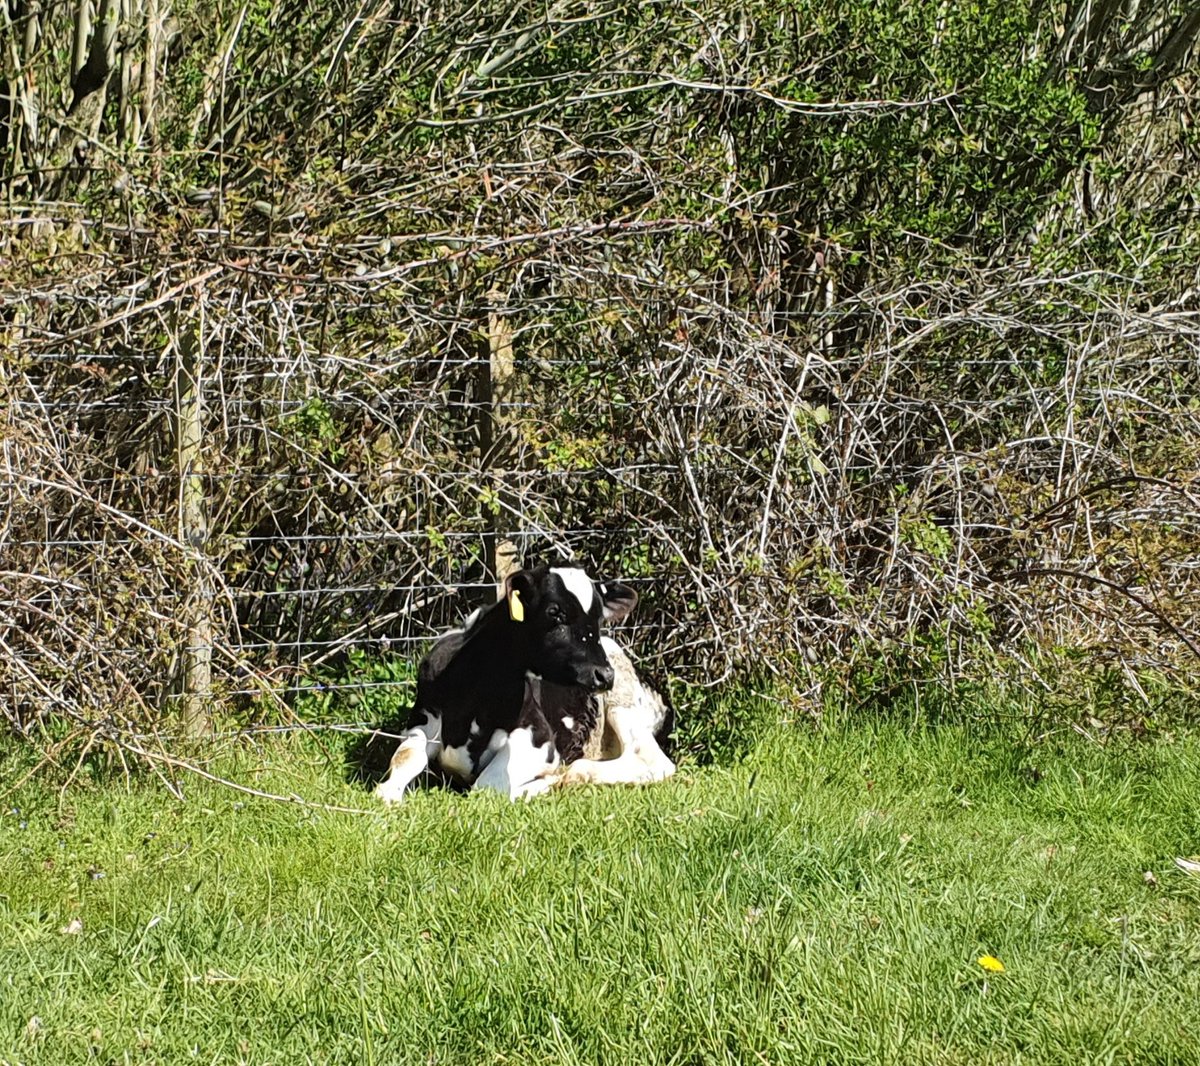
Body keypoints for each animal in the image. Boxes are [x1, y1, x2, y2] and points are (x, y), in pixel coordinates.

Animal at [374, 561, 672, 803]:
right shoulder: (423, 720)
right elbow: (405, 758)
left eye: (599, 618)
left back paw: (575, 773)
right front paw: (389, 792)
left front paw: (548, 780)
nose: (604, 675)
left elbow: (487, 786)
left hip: (623, 704)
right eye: (555, 612)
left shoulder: (537, 737)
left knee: (653, 760)